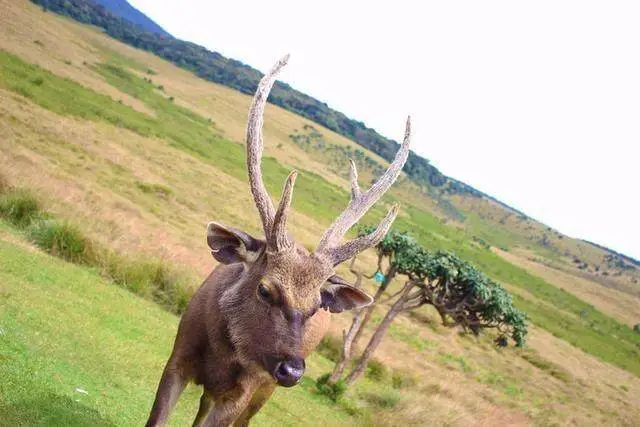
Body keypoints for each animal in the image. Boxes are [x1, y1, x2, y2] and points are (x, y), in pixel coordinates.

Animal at [146, 55, 410, 426]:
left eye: (315, 306)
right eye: (265, 290)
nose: (292, 370)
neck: (222, 356)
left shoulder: (244, 390)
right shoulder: (177, 358)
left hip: (264, 391)